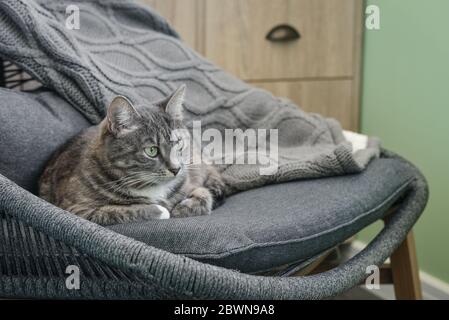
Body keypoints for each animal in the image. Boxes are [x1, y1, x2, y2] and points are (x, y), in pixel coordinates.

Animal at [39, 85, 224, 225]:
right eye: (151, 150)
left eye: (178, 143)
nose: (176, 169)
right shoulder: (76, 209)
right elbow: (116, 211)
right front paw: (160, 210)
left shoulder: (190, 182)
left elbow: (204, 194)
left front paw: (183, 208)